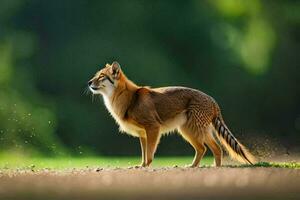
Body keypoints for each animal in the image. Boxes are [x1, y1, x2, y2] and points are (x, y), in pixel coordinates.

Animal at [87, 61, 255, 167]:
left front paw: (146, 167)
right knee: (212, 148)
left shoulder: (153, 128)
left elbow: (149, 153)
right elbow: (143, 154)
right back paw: (203, 167)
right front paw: (141, 166)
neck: (129, 99)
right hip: (193, 130)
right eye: (96, 75)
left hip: (193, 131)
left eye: (101, 76)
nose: (89, 82)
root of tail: (213, 100)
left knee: (207, 148)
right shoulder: (143, 134)